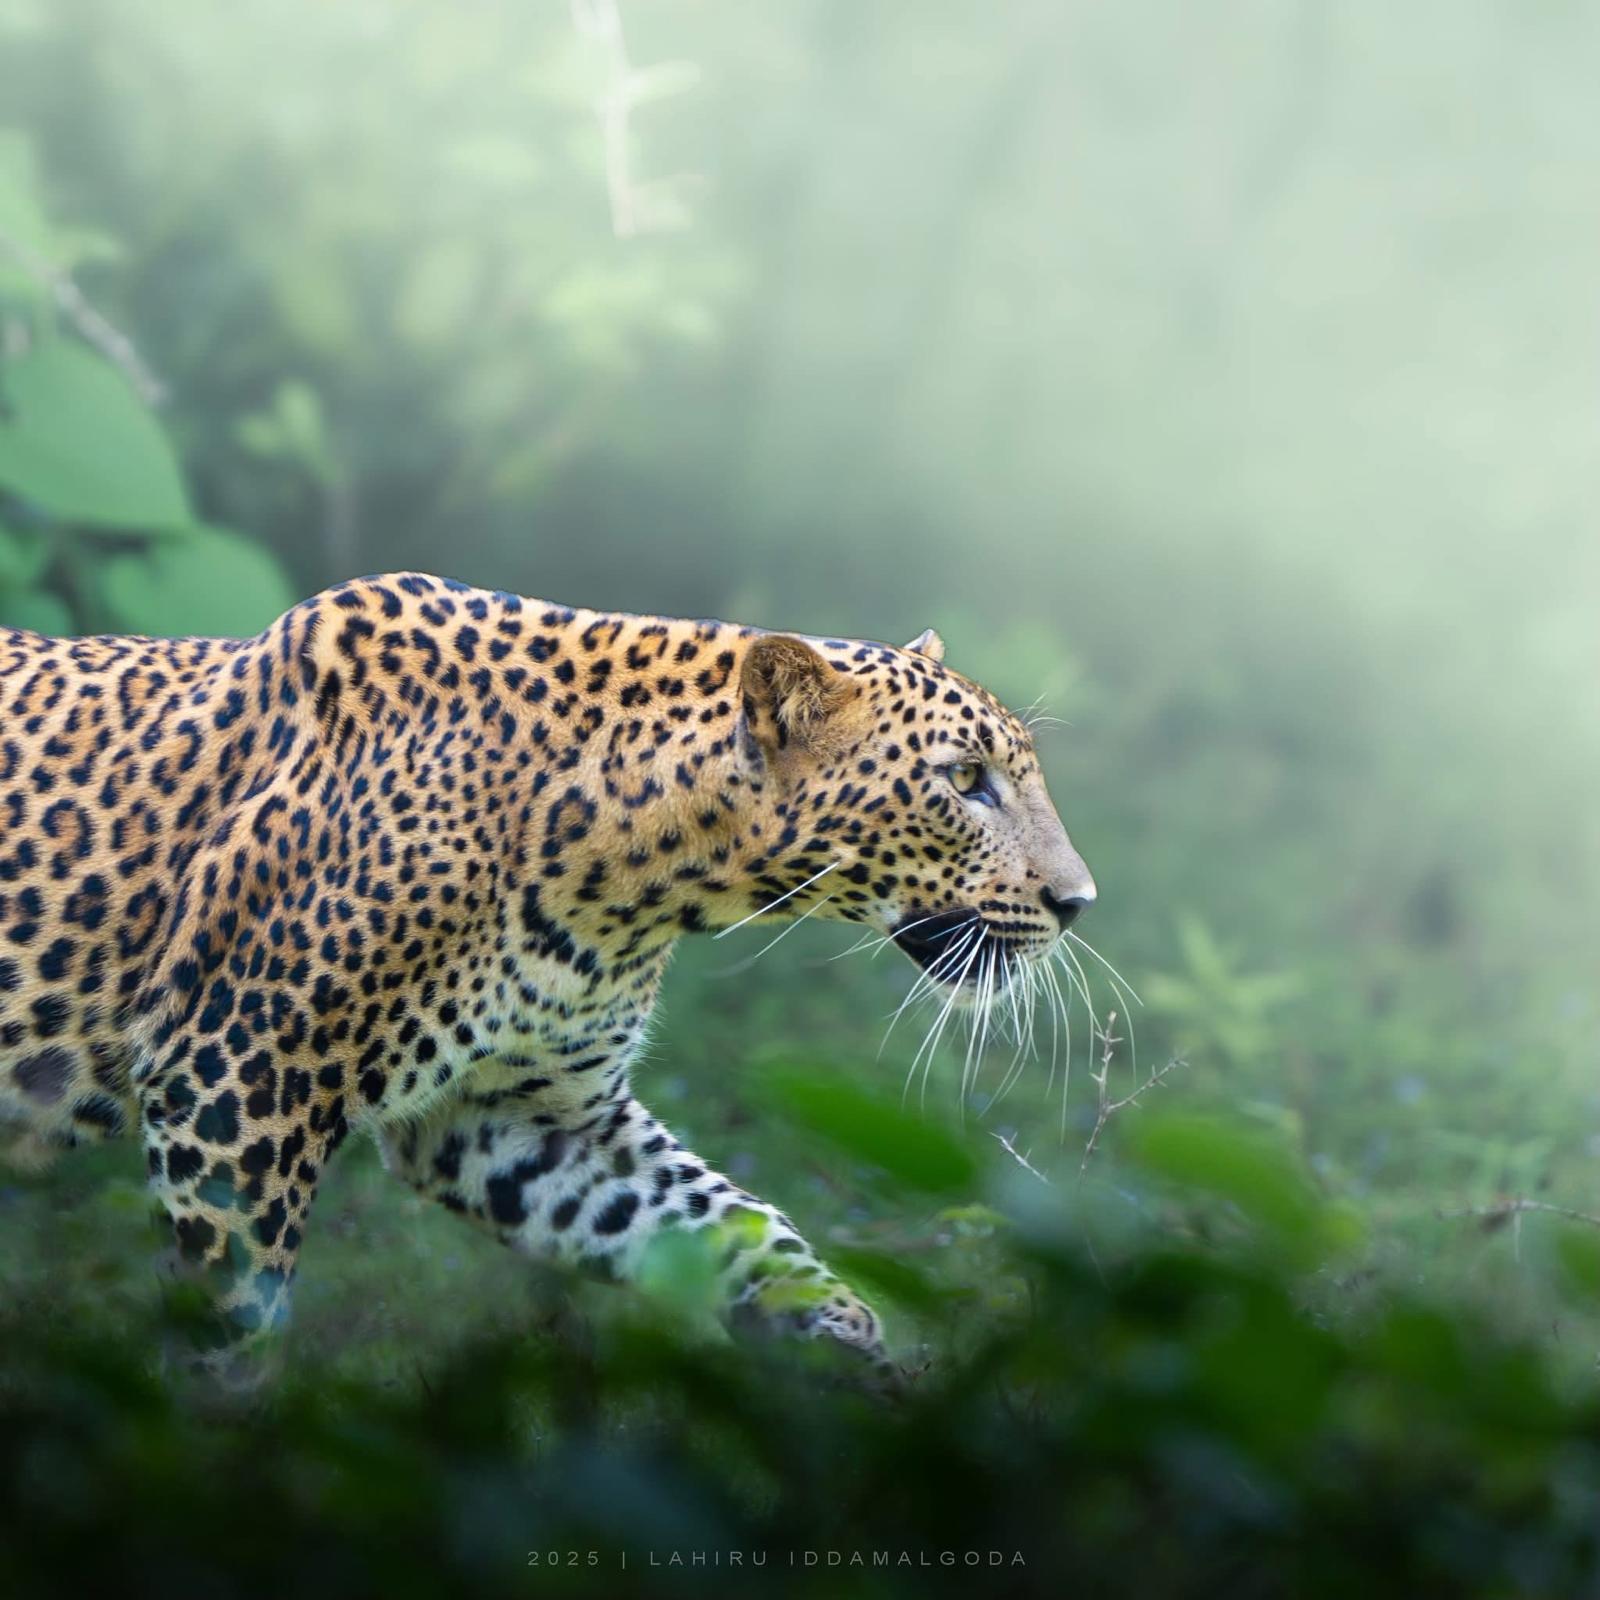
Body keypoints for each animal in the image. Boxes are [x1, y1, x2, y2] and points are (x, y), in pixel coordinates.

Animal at [0, 572, 1095, 1378]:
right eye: (965, 782)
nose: (1079, 901)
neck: (631, 876)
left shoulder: (522, 1118)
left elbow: (729, 1219)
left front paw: (849, 1346)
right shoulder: (234, 1084)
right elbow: (234, 1325)